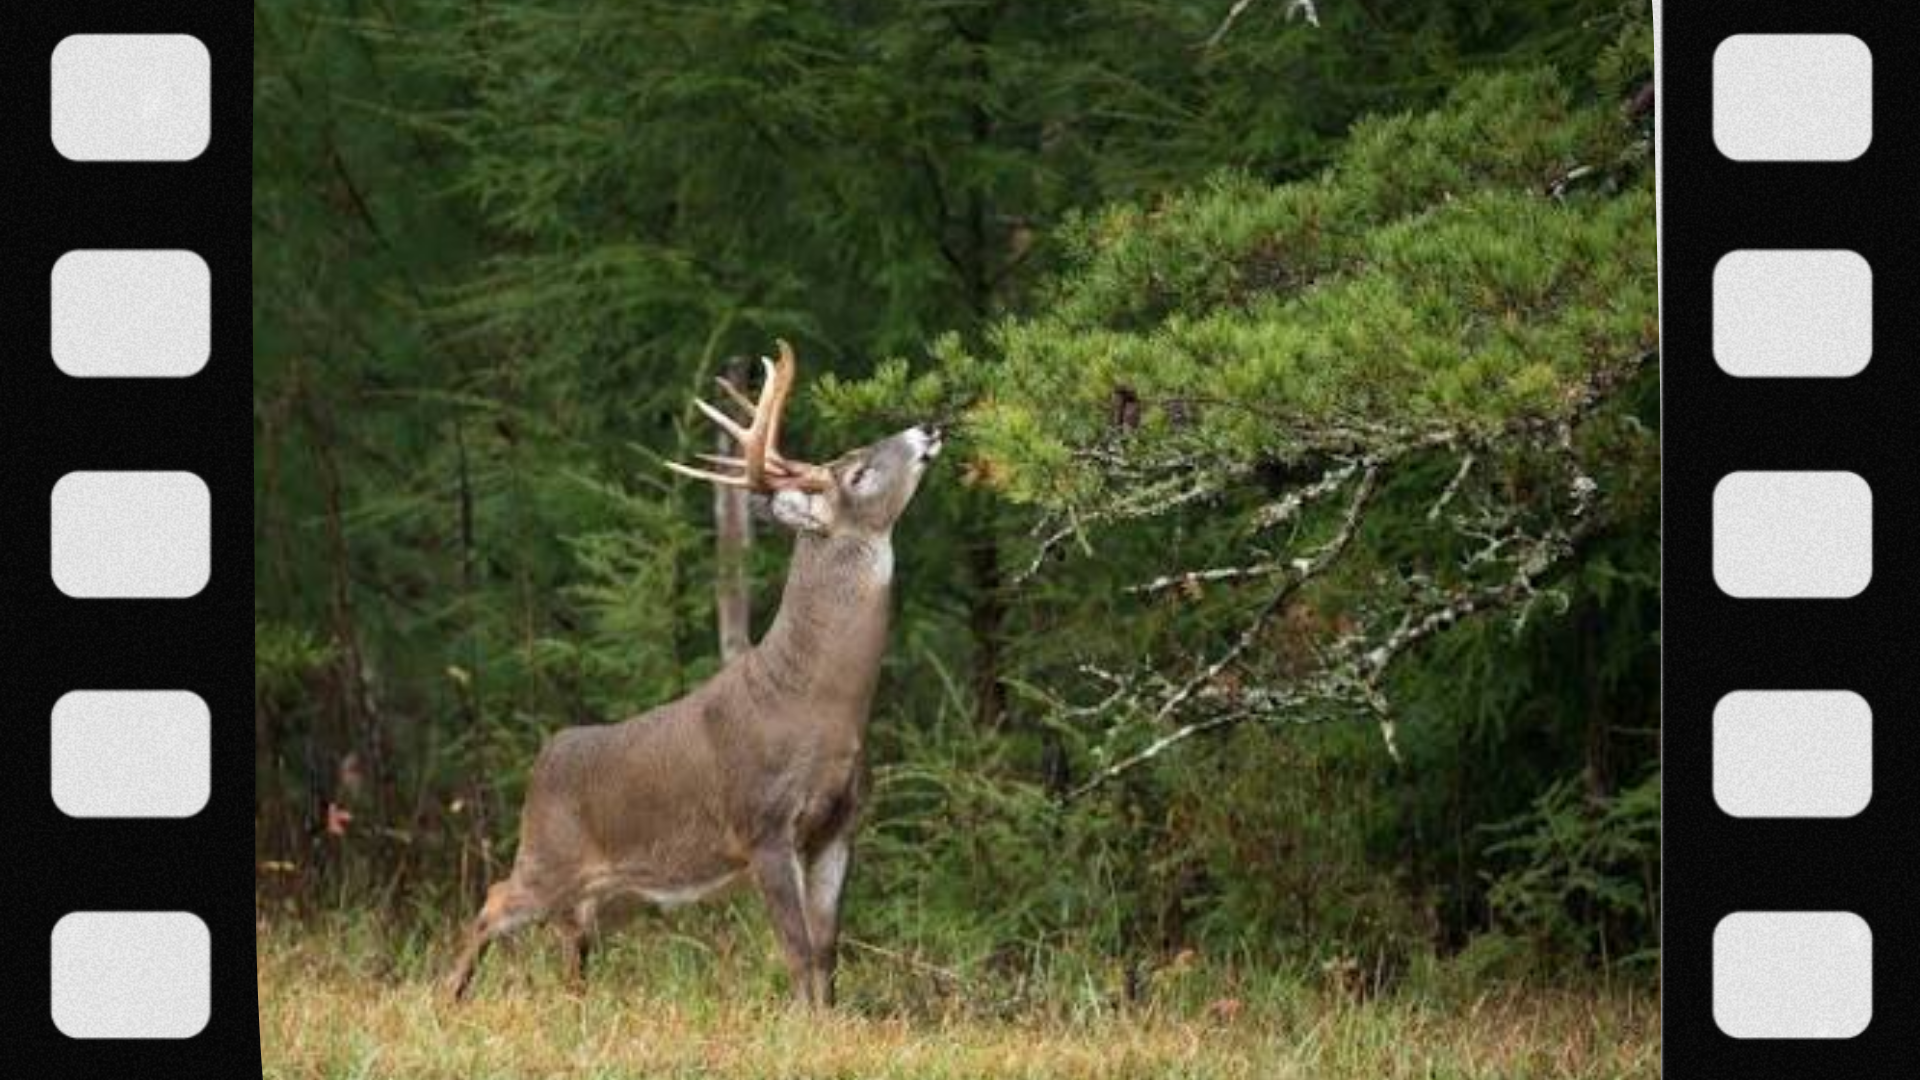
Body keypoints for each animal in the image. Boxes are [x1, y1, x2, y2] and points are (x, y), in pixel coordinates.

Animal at [442, 341, 941, 1009]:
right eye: (856, 472)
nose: (928, 427)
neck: (820, 705)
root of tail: (544, 759)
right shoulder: (763, 824)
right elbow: (797, 950)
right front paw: (806, 1024)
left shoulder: (839, 826)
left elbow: (827, 952)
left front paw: (830, 1021)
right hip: (548, 856)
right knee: (493, 901)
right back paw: (449, 995)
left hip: (601, 895)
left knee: (569, 941)